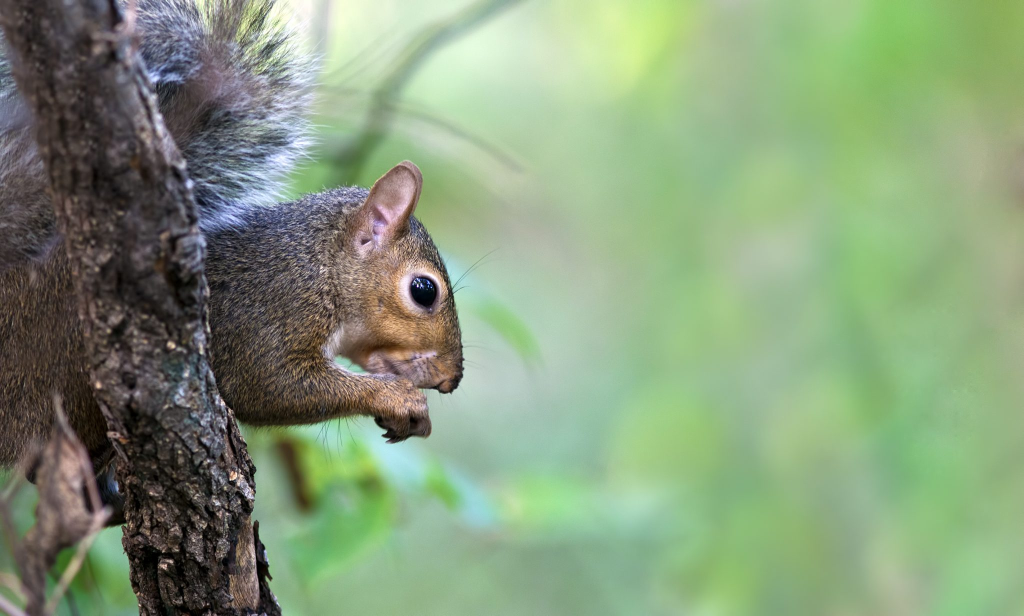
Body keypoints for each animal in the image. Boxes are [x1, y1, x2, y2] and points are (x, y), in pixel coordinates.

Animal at [0, 0, 464, 470]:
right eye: (424, 290)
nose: (452, 379)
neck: (319, 264)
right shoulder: (265, 313)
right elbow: (270, 386)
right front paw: (396, 398)